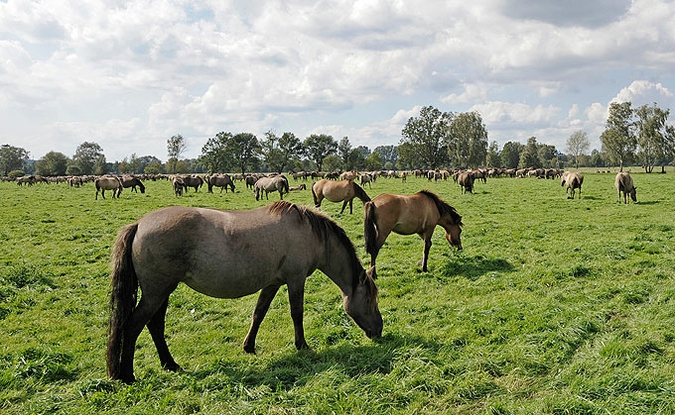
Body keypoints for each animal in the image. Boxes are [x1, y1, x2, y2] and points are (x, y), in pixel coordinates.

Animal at [105, 201, 380, 384]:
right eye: (369, 299)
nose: (379, 330)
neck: (309, 232)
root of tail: (139, 224)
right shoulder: (295, 279)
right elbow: (296, 313)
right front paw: (302, 345)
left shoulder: (273, 283)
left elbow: (259, 313)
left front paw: (249, 346)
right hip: (157, 292)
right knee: (133, 325)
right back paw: (127, 375)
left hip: (162, 292)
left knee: (155, 325)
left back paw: (170, 364)